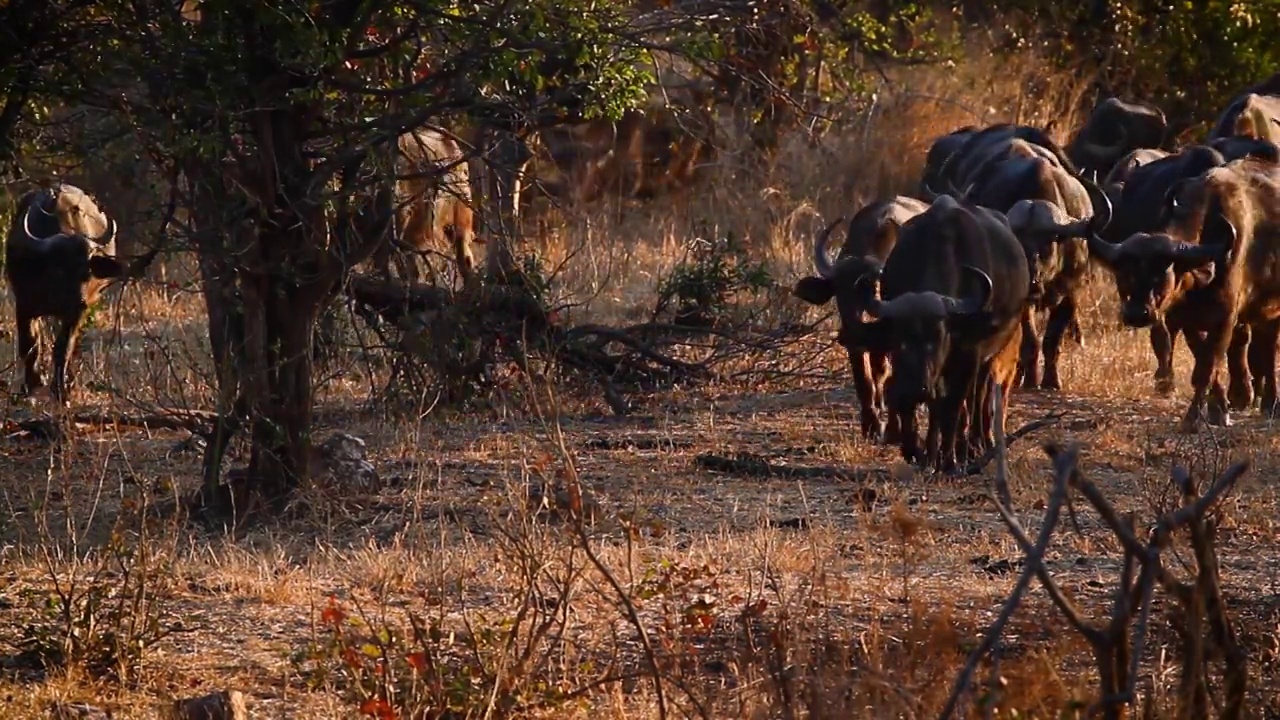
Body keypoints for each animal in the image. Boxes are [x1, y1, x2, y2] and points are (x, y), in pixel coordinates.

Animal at [5, 181, 122, 399]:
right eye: (59, 269)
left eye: (87, 271)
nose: (79, 300)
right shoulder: (24, 305)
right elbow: (30, 344)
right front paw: (32, 384)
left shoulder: (74, 315)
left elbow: (63, 347)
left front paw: (60, 389)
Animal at [788, 197, 931, 443]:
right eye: (839, 294)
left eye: (872, 288)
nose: (852, 329)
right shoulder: (856, 345)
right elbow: (864, 379)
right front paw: (871, 425)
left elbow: (891, 380)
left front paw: (893, 429)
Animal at [839, 194, 1029, 471]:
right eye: (899, 339)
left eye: (940, 336)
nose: (917, 387)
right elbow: (911, 403)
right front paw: (915, 450)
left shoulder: (968, 355)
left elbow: (954, 405)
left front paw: (949, 459)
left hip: (988, 358)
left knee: (977, 398)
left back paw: (972, 446)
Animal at [1085, 156, 1280, 427]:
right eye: (1125, 275)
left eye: (1161, 274)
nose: (1136, 314)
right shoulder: (1187, 321)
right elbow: (1204, 363)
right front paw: (1218, 408)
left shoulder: (1225, 318)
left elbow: (1208, 365)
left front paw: (1194, 417)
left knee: (1268, 351)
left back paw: (1271, 404)